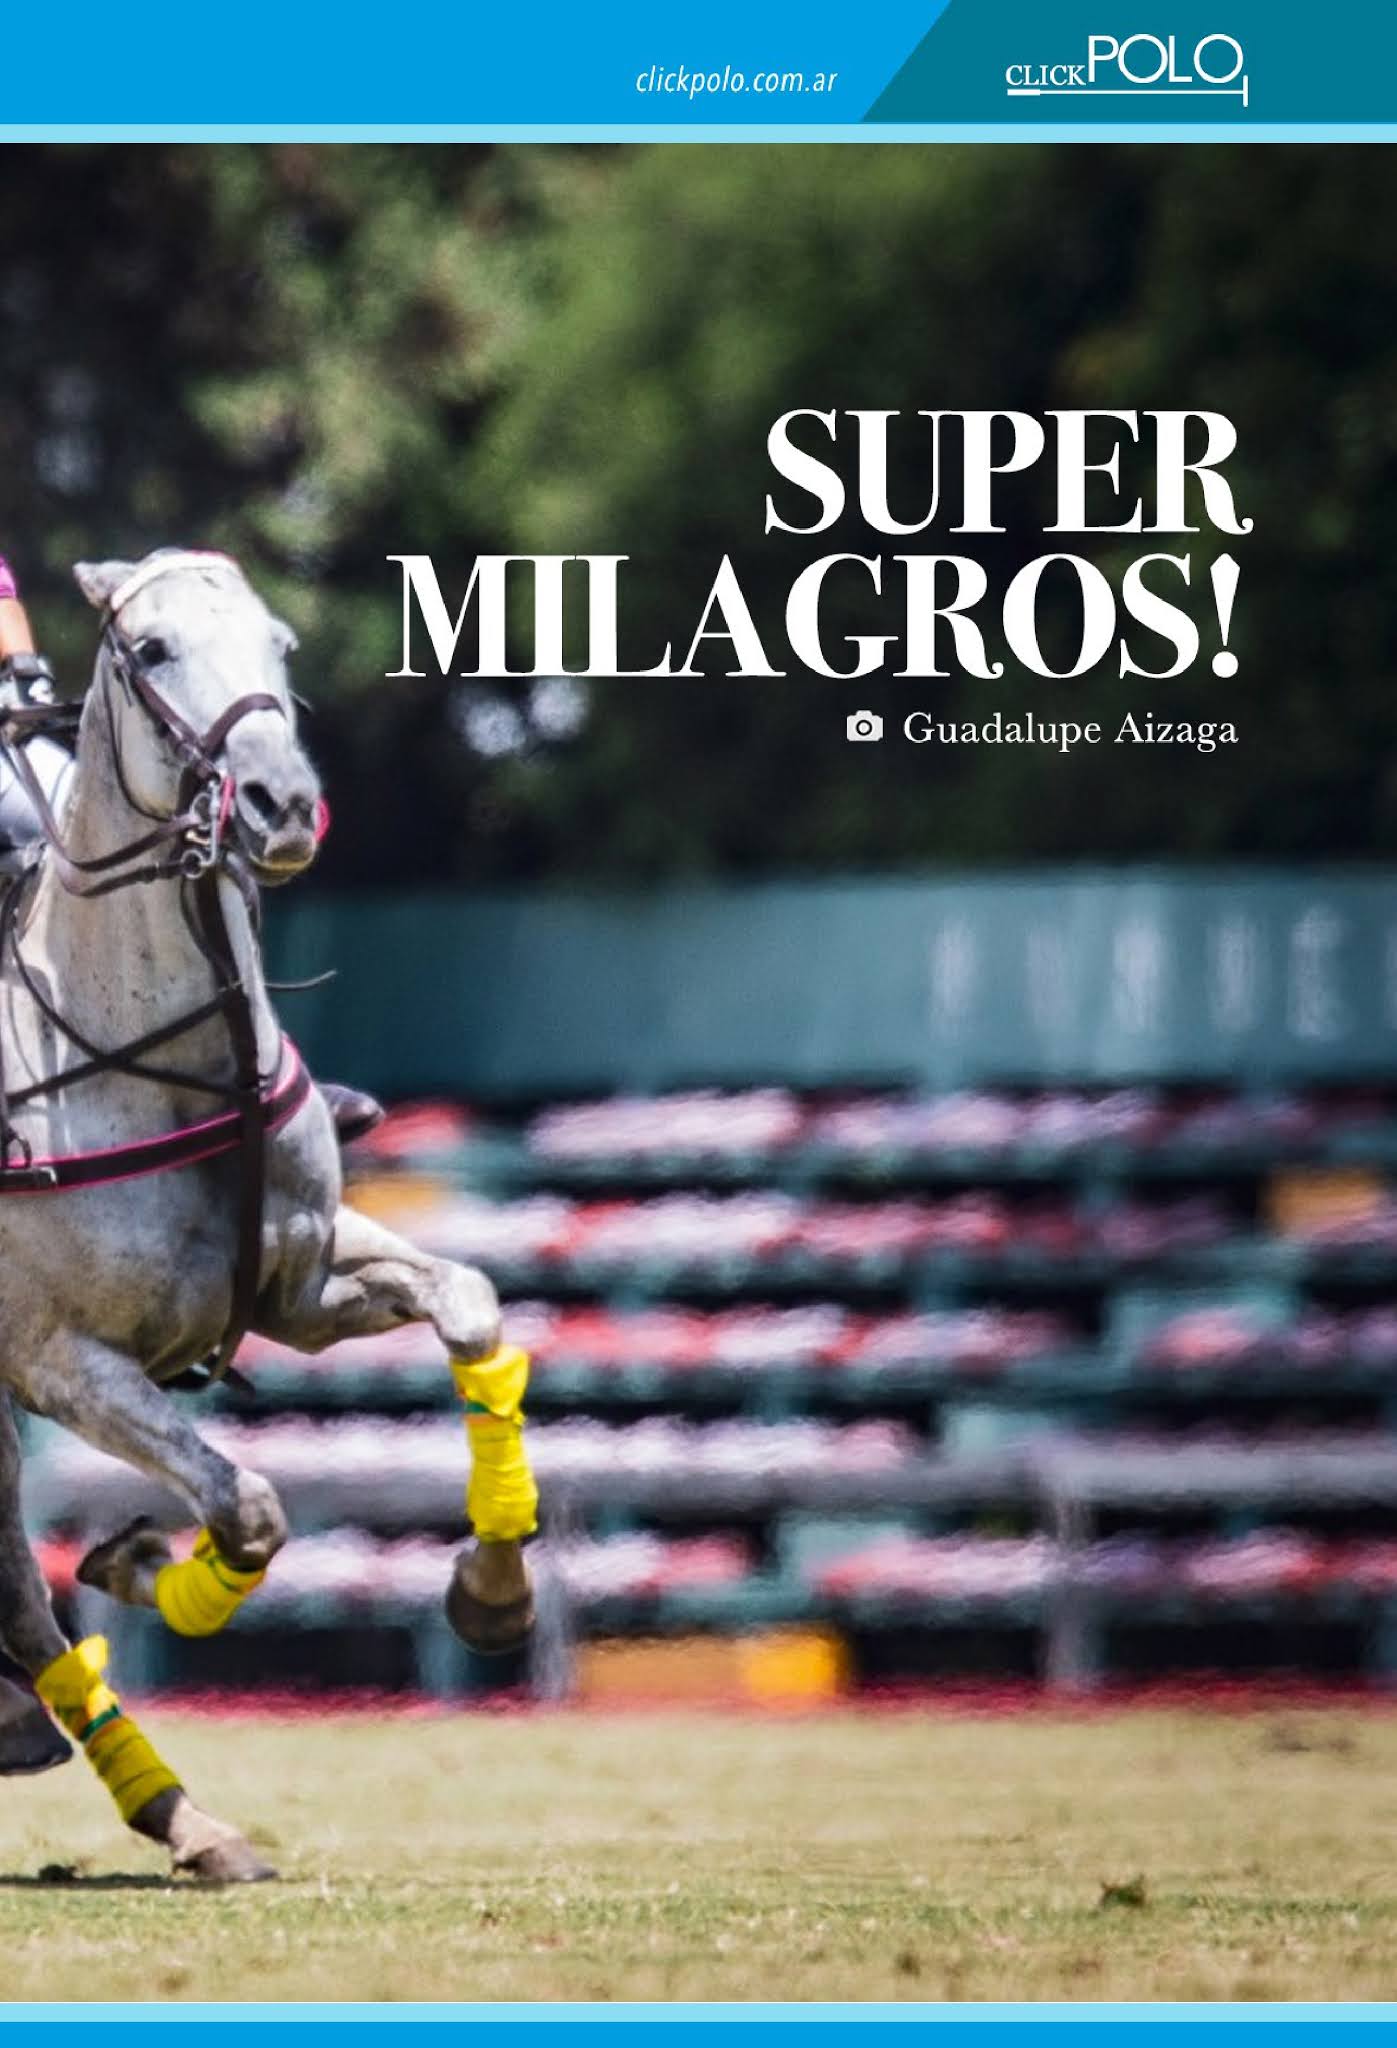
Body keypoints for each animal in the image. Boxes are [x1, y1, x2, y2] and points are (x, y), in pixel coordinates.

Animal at [0, 548, 536, 1883]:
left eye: (281, 644)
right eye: (150, 650)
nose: (281, 802)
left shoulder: (298, 1286)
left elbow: (470, 1305)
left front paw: (492, 1588)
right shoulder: (55, 1361)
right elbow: (246, 1504)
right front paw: (146, 1558)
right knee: (22, 1598)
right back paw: (164, 1802)